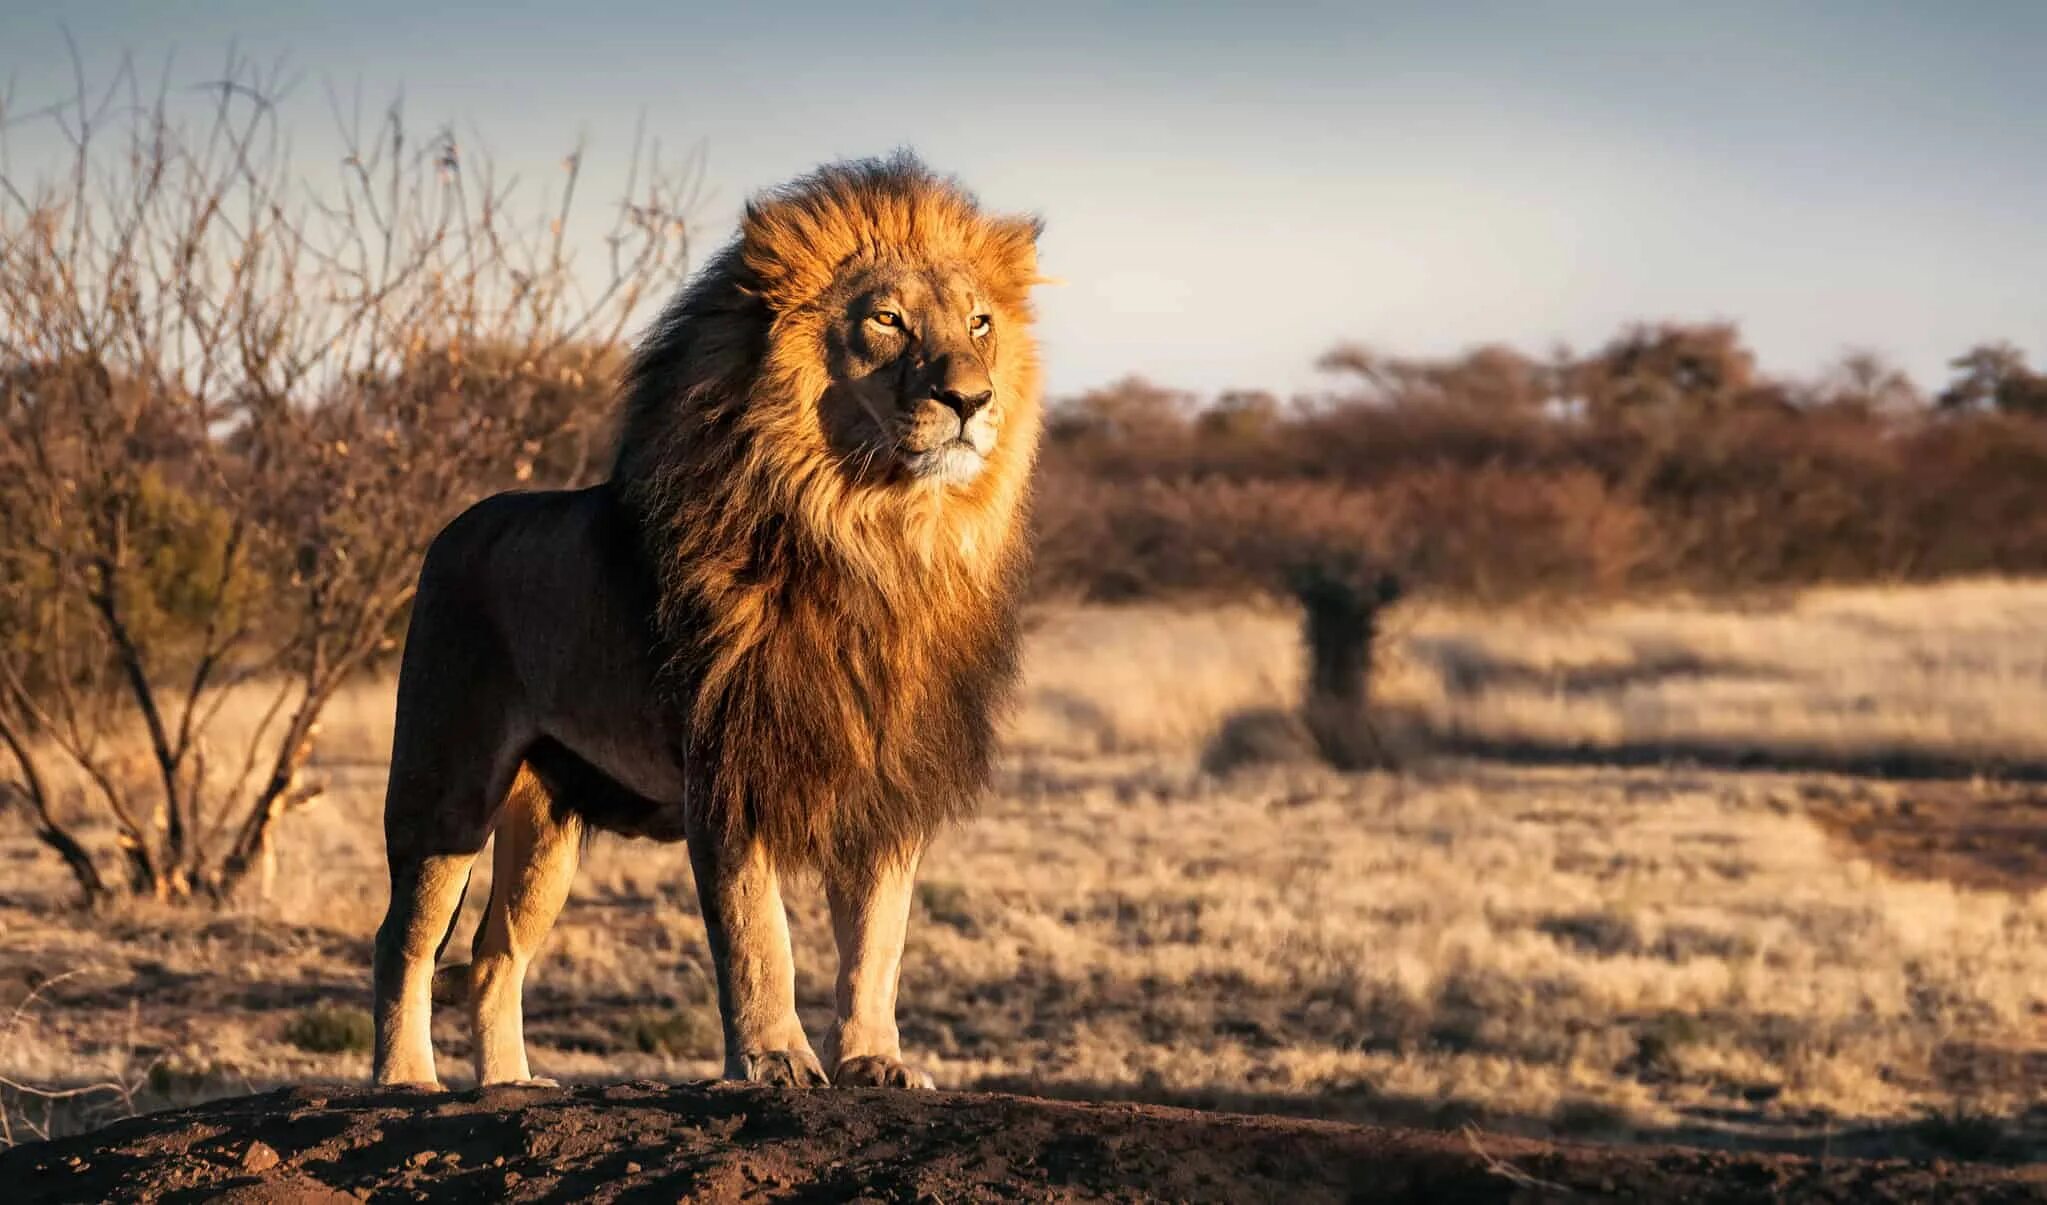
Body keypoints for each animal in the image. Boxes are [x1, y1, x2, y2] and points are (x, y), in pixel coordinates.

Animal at [370, 155, 1048, 1088]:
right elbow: (758, 934)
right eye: (886, 319)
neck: (874, 536)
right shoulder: (728, 767)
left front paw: (874, 1060)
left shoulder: (886, 779)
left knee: (493, 952)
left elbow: (877, 939)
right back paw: (405, 1077)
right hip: (446, 784)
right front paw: (774, 1059)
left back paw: (509, 1082)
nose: (971, 398)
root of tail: (452, 527)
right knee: (403, 937)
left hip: (547, 824)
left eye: (980, 323)